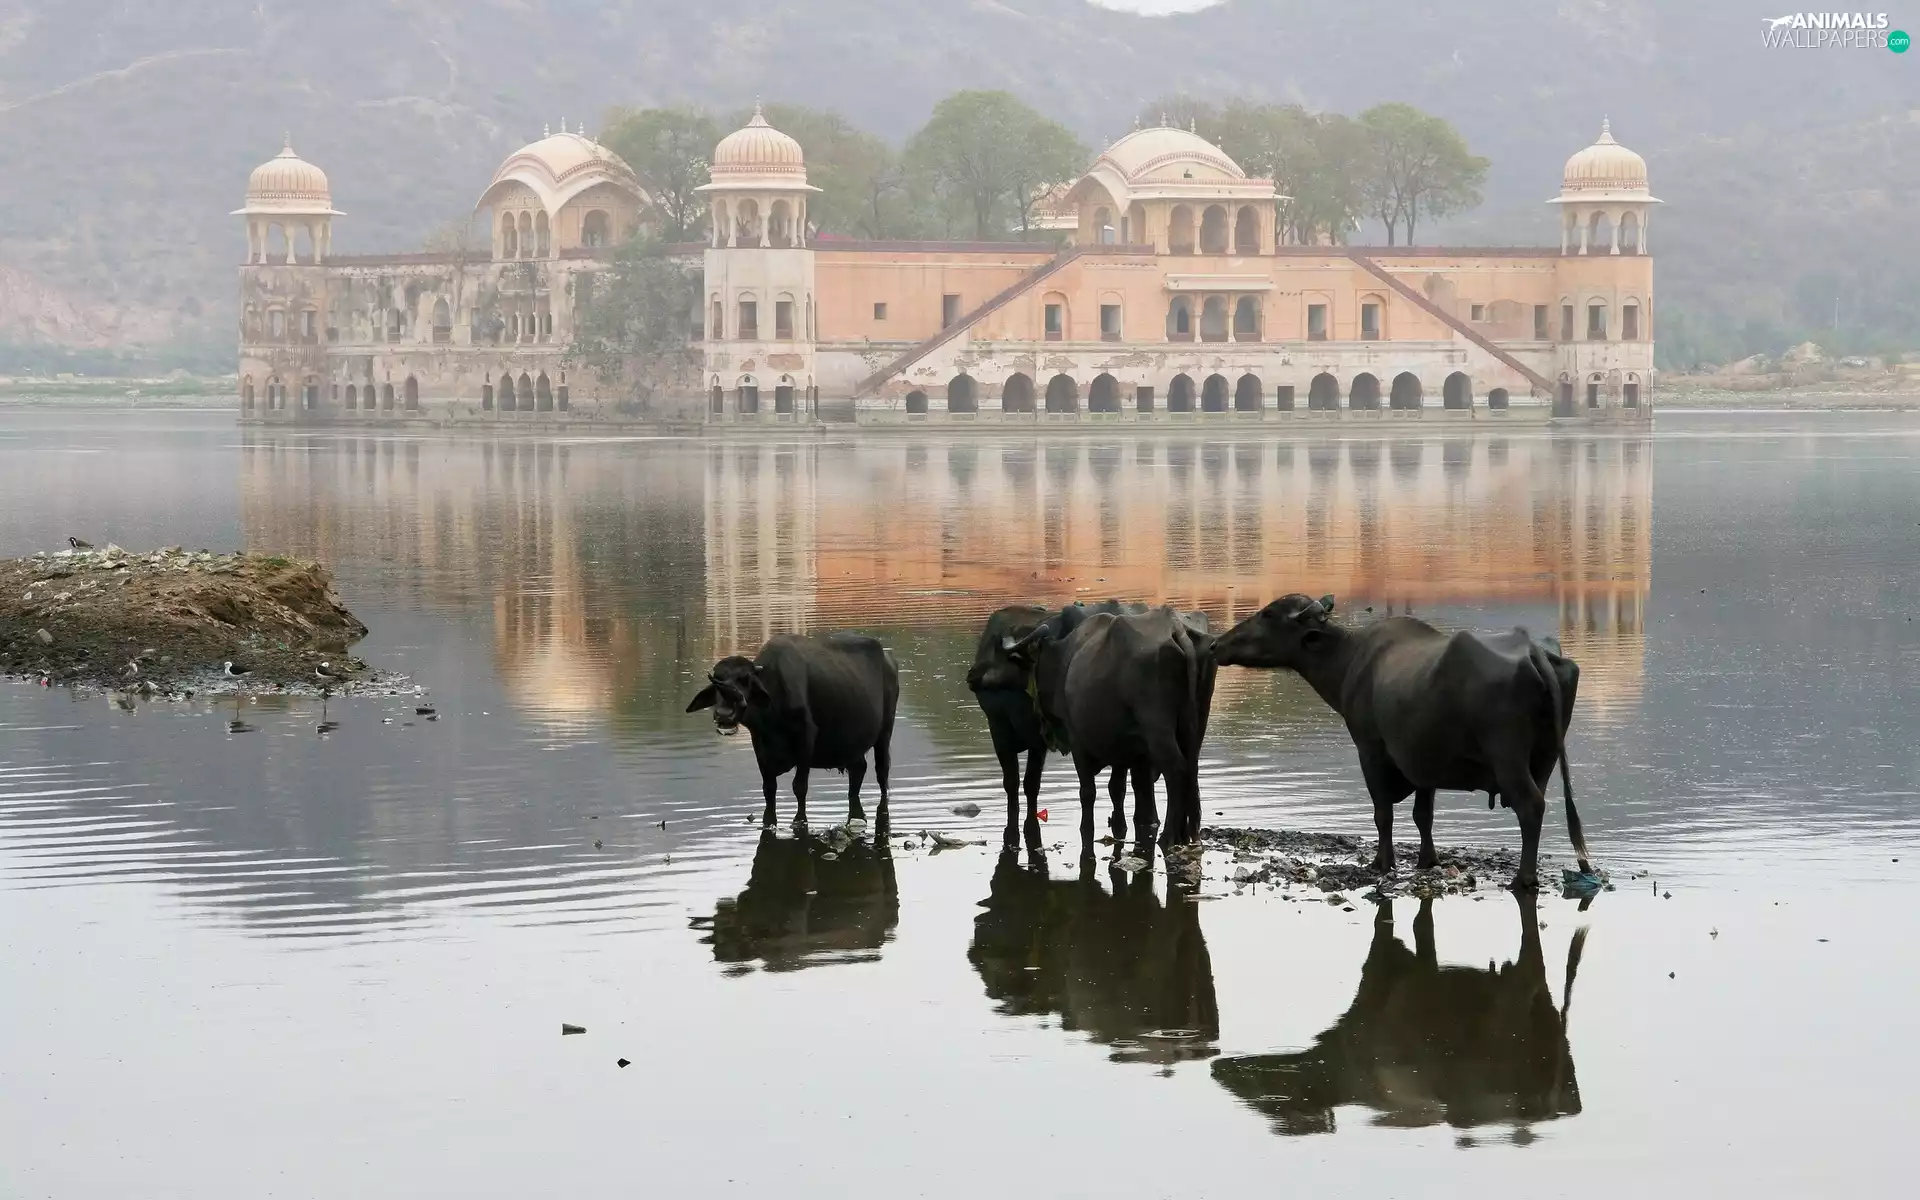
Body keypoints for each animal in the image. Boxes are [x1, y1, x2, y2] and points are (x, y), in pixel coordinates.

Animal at [686, 632, 899, 829]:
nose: (724, 714)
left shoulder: (806, 738)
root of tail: (888, 660)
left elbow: (799, 787)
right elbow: (769, 788)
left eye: (744, 679)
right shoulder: (759, 744)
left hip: (885, 731)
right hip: (853, 743)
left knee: (882, 771)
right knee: (858, 769)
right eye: (717, 680)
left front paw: (799, 821)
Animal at [1006, 604, 1217, 848]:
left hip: (1158, 728)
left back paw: (1168, 835)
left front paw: (1086, 826)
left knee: (1176, 769)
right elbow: (1118, 788)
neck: (1065, 660)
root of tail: (1174, 626)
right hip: (1196, 724)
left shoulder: (1078, 741)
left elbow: (1088, 791)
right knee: (1191, 769)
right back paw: (1187, 833)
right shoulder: (1125, 747)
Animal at [1210, 594, 1591, 890]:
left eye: (1267, 614)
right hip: (1546, 757)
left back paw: (1523, 879)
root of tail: (1533, 652)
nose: (1215, 644)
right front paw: (1428, 860)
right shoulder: (1423, 761)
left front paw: (1382, 861)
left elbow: (1383, 812)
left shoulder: (1370, 749)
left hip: (1507, 756)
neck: (1349, 660)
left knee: (1530, 805)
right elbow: (1423, 815)